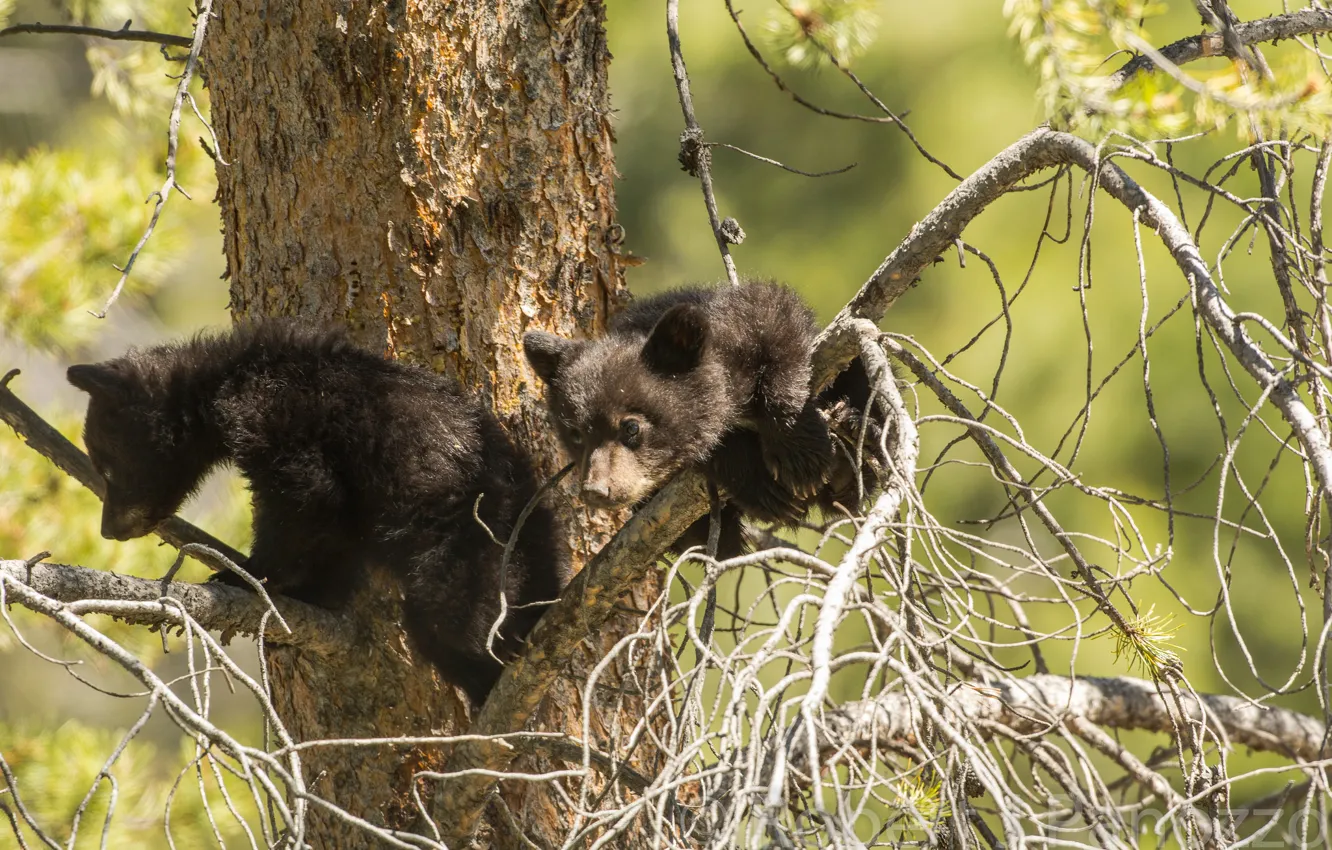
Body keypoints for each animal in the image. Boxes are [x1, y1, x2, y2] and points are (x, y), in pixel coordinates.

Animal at [67, 320, 568, 705]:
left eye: (106, 466)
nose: (109, 530)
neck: (222, 379)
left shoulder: (273, 414)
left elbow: (306, 495)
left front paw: (248, 576)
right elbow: (335, 529)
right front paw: (320, 591)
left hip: (465, 549)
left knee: (449, 620)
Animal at [523, 280, 867, 558]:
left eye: (631, 426)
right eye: (576, 434)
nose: (597, 490)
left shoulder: (742, 318)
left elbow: (780, 322)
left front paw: (800, 453)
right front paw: (757, 482)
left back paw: (849, 433)